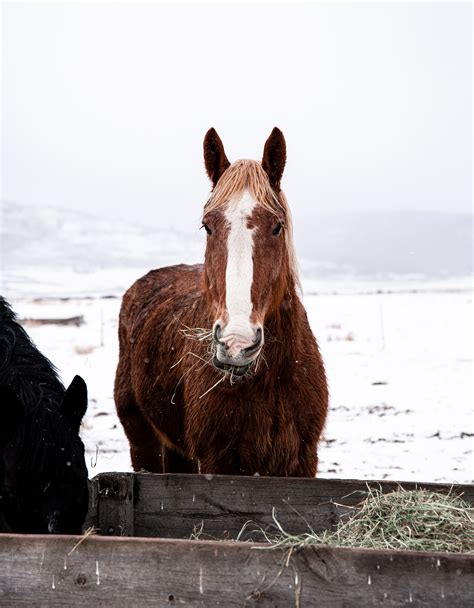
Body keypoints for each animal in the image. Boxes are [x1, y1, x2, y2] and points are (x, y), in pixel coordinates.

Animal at [115, 128, 330, 478]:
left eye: (277, 226)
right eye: (207, 225)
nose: (236, 344)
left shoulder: (302, 461)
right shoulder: (218, 463)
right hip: (144, 444)